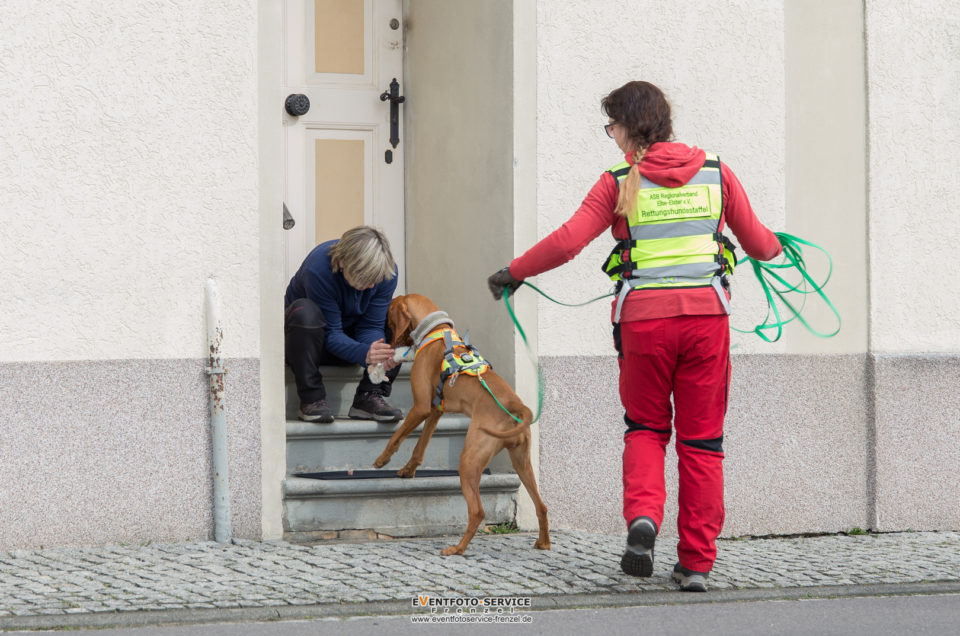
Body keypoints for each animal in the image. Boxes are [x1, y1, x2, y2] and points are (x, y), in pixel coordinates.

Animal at [376, 294, 556, 556]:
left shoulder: (420, 407)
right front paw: (409, 469)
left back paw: (457, 548)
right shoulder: (435, 410)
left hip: (470, 461)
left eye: (388, 313)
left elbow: (397, 436)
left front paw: (382, 460)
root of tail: (515, 406)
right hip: (522, 462)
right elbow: (421, 445)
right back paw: (544, 542)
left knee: (478, 511)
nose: (388, 342)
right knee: (541, 506)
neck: (437, 329)